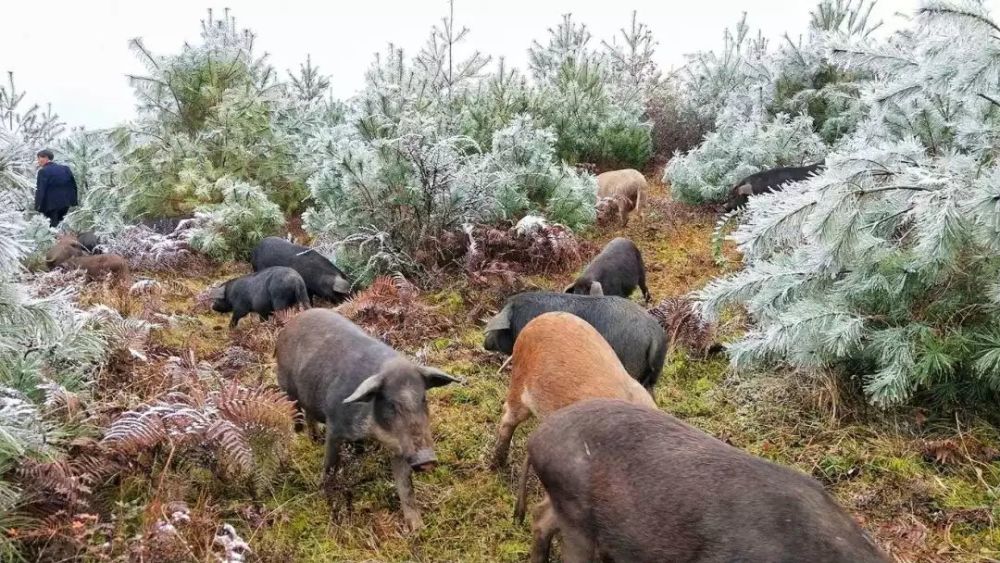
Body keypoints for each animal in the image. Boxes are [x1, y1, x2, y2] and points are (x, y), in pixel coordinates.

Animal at [274, 310, 460, 532]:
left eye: (423, 399)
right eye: (391, 404)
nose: (427, 459)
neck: (376, 431)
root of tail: (288, 325)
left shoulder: (401, 448)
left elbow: (406, 487)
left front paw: (418, 529)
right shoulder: (335, 425)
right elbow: (330, 465)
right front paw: (324, 493)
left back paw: (315, 440)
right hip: (287, 389)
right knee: (296, 414)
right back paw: (300, 437)